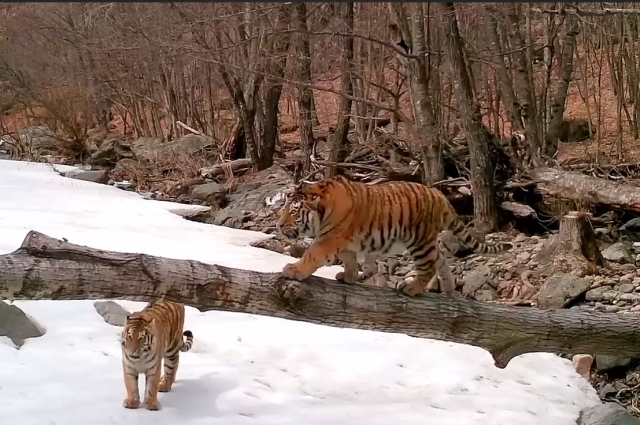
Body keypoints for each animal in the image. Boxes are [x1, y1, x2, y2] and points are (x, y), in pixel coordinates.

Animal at [278, 175, 512, 294]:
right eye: (284, 209)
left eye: (293, 212)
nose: (279, 225)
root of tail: (439, 194)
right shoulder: (344, 242)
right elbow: (350, 260)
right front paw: (348, 277)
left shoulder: (328, 238)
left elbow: (312, 254)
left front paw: (293, 270)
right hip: (427, 242)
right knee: (442, 260)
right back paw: (448, 291)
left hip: (419, 241)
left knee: (428, 267)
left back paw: (411, 287)